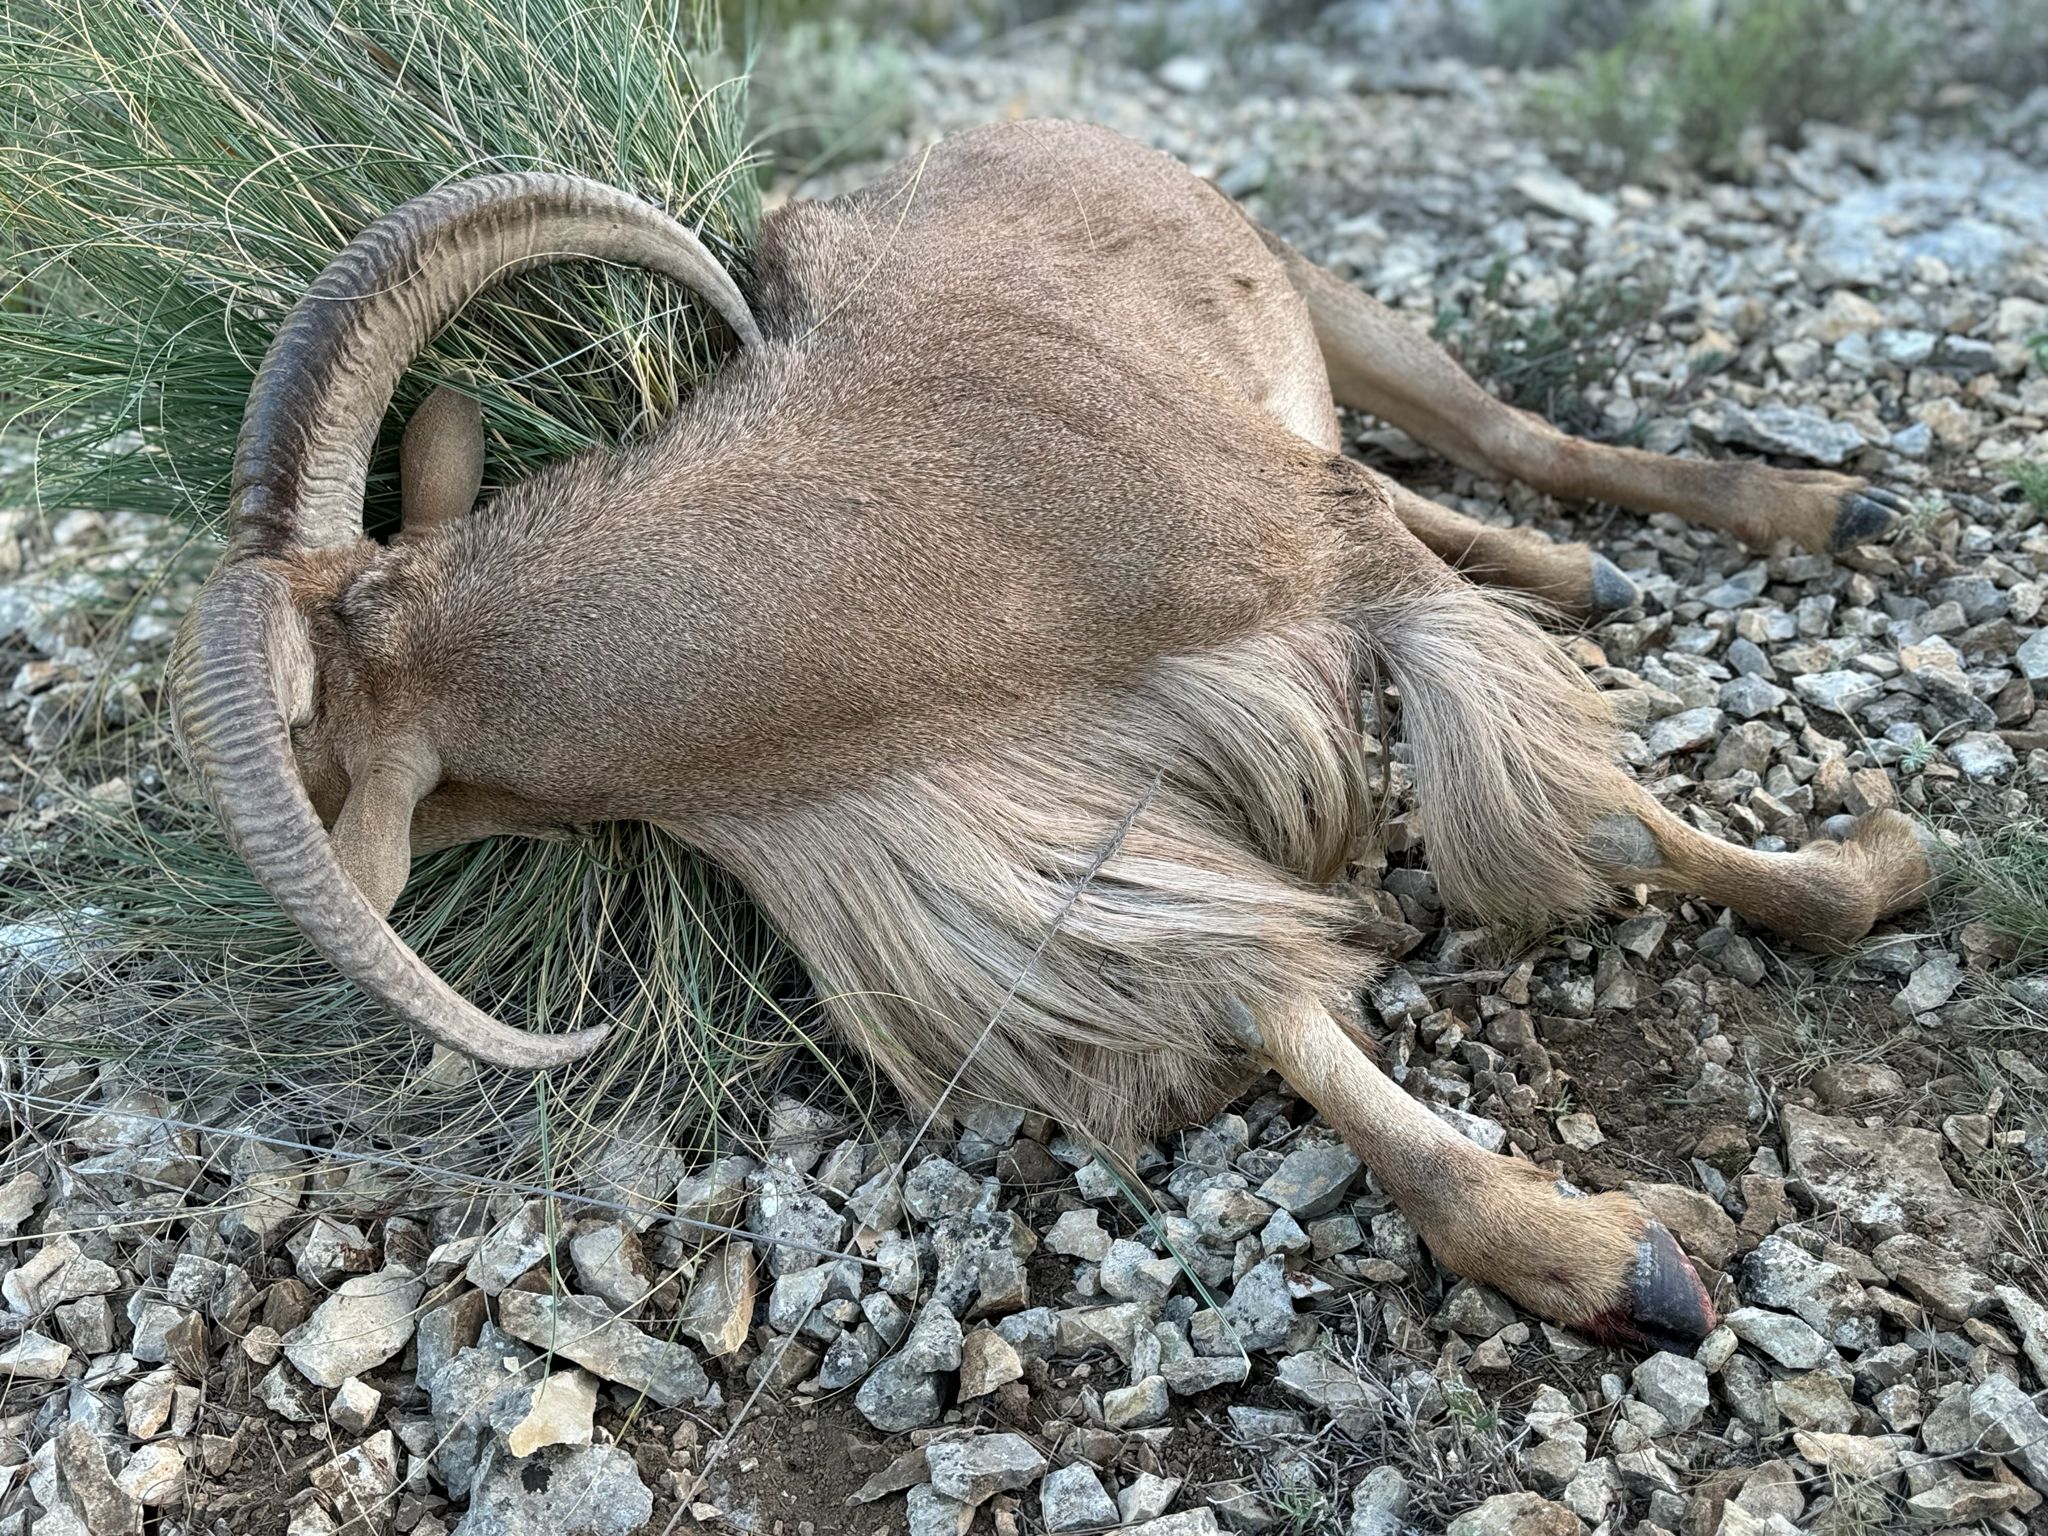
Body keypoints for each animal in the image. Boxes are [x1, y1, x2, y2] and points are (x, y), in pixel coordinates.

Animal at [172, 119, 1931, 1349]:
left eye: (311, 756)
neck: (946, 539)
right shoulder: (1032, 845)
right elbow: (1269, 1005)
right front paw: (1596, 1258)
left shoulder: (1328, 558)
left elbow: (1597, 822)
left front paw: (1876, 860)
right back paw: (1590, 569)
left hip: (1321, 303)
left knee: (1512, 438)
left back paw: (1812, 509)